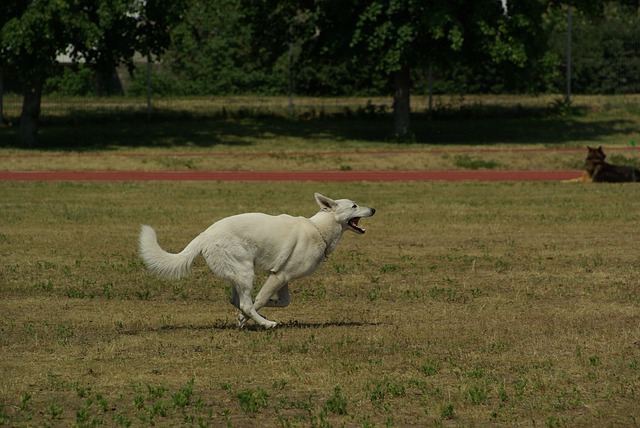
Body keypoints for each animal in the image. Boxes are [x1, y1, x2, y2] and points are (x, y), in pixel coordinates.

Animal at [138, 192, 372, 330]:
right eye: (354, 206)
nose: (374, 209)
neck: (320, 230)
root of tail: (205, 235)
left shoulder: (281, 277)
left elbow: (281, 301)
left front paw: (264, 307)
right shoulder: (279, 276)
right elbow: (257, 301)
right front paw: (245, 318)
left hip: (239, 274)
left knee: (237, 300)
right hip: (245, 271)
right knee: (245, 303)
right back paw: (267, 324)